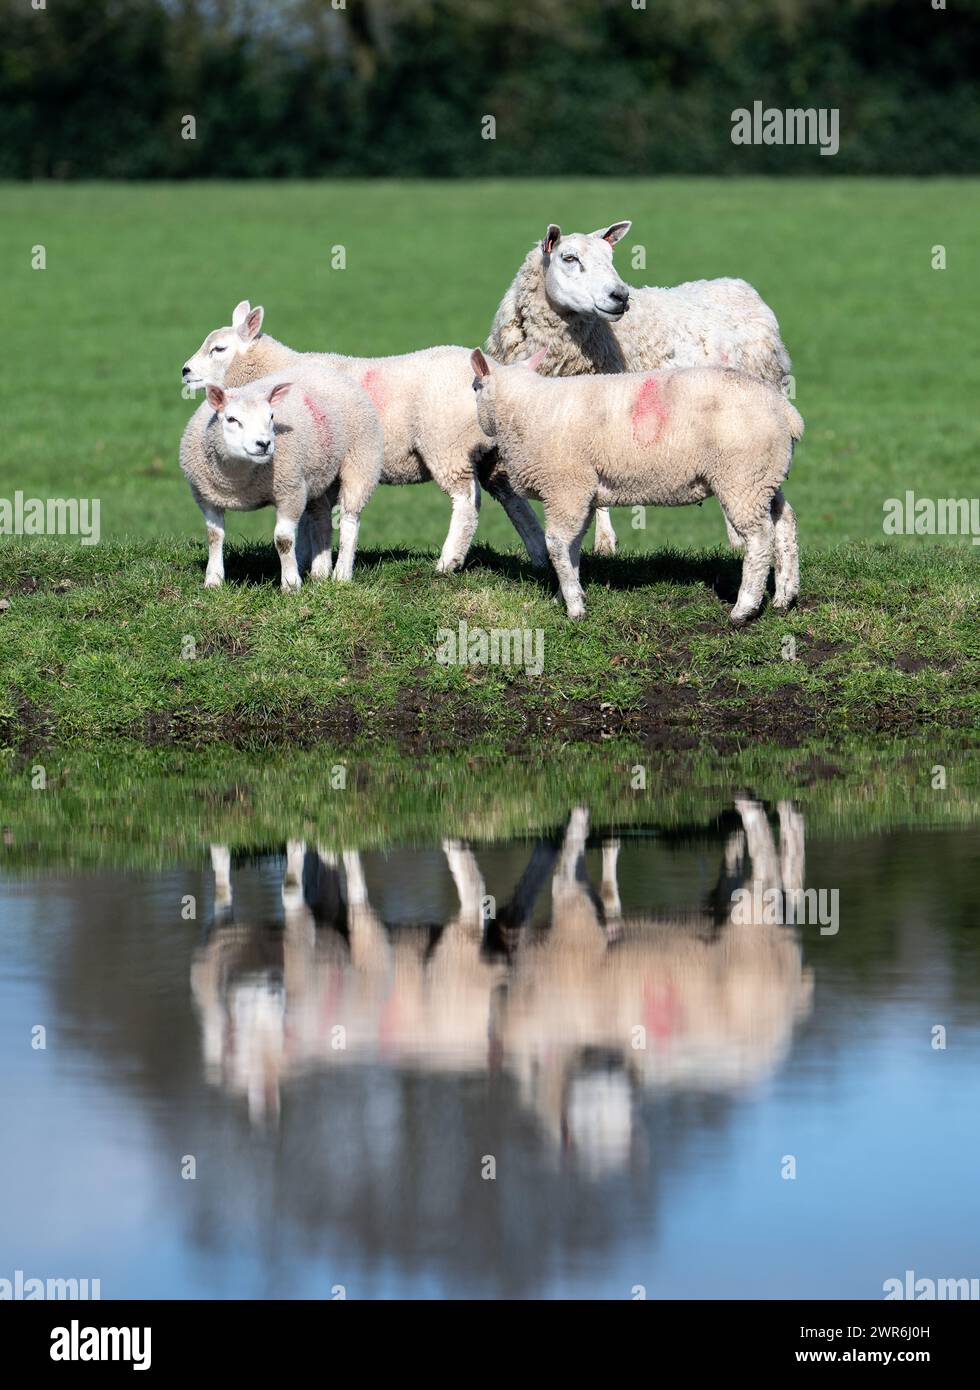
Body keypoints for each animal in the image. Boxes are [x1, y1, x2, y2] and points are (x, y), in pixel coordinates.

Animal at [179, 369, 383, 586]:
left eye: (271, 416)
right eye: (232, 419)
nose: (264, 444)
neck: (237, 481)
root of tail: (328, 370)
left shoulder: (290, 492)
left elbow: (283, 540)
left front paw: (291, 584)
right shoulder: (206, 497)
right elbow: (214, 536)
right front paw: (213, 580)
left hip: (361, 461)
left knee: (349, 519)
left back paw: (341, 574)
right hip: (315, 476)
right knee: (321, 517)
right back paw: (320, 571)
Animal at [469, 353, 800, 625]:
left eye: (474, 387)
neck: (527, 409)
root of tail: (785, 410)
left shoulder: (566, 486)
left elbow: (557, 545)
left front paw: (574, 608)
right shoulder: (581, 492)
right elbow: (573, 546)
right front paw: (567, 595)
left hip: (741, 476)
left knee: (759, 539)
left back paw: (743, 609)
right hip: (764, 476)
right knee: (784, 521)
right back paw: (785, 596)